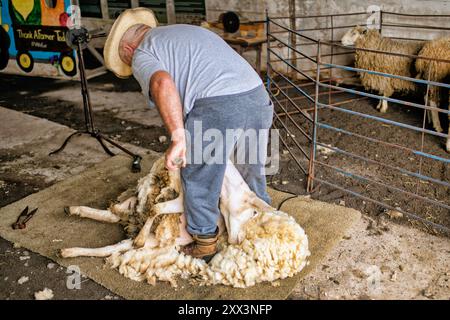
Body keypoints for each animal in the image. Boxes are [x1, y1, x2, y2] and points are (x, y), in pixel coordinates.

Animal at [61, 157, 312, 288]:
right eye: (250, 213)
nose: (234, 240)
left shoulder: (183, 201)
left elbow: (157, 208)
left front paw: (140, 236)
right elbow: (154, 207)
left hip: (150, 238)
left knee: (110, 246)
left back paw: (71, 249)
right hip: (139, 212)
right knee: (113, 221)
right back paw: (73, 218)